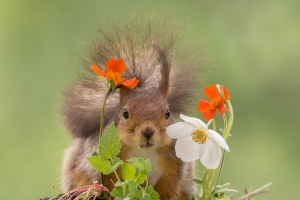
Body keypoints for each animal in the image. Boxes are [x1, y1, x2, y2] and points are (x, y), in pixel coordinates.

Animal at [61, 18, 206, 199]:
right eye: (125, 113)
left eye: (167, 113)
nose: (148, 131)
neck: (143, 152)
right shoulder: (107, 169)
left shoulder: (173, 168)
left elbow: (166, 191)